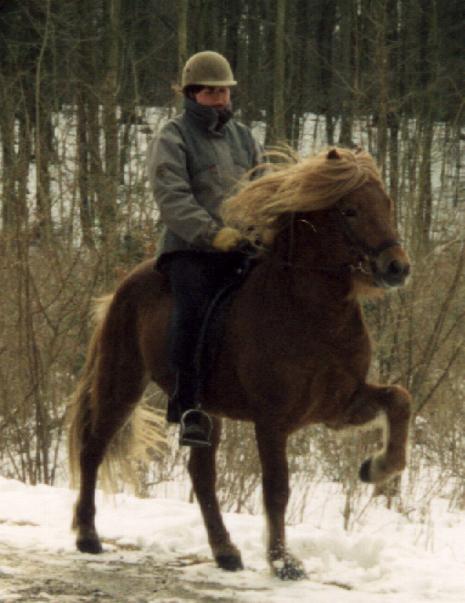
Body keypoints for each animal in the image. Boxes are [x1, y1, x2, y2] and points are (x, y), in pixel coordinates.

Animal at [68, 146, 410, 580]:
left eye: (387, 203)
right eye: (349, 210)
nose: (397, 268)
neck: (310, 311)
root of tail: (124, 286)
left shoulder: (339, 405)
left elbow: (399, 400)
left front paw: (376, 467)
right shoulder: (273, 420)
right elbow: (277, 488)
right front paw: (283, 561)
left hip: (203, 412)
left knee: (202, 476)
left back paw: (225, 551)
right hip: (122, 383)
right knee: (93, 448)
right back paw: (87, 535)